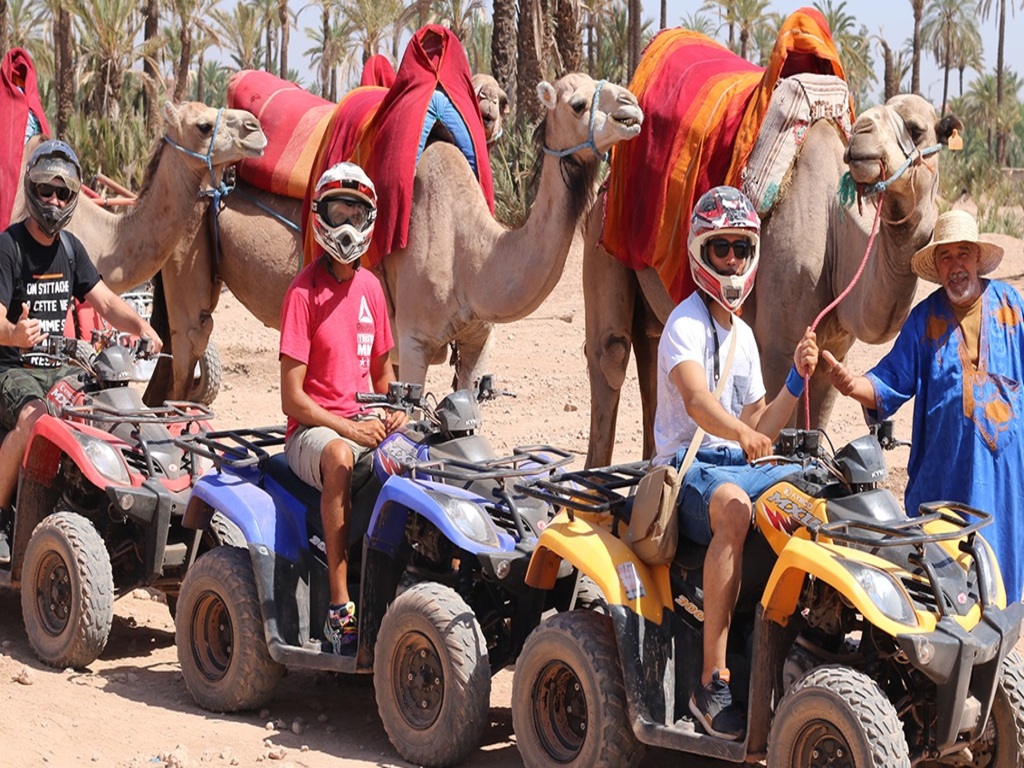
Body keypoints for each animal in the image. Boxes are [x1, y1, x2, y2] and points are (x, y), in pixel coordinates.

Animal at [150, 73, 643, 400]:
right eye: (578, 103)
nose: (632, 109)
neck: (471, 253)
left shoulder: (477, 341)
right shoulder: (414, 337)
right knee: (188, 343)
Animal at [584, 93, 961, 467]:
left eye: (916, 128)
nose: (861, 137)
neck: (835, 238)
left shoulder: (833, 352)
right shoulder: (778, 346)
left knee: (651, 357)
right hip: (602, 238)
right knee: (611, 353)